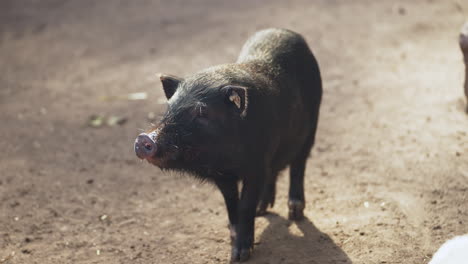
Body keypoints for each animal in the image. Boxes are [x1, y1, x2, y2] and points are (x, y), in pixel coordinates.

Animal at [135, 27, 322, 260]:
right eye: (169, 108)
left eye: (202, 112)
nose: (145, 138)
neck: (227, 159)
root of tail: (285, 31)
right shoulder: (224, 175)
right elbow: (232, 204)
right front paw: (234, 245)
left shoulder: (256, 167)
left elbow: (245, 205)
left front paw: (241, 255)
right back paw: (263, 209)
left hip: (312, 123)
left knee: (299, 165)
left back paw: (295, 212)